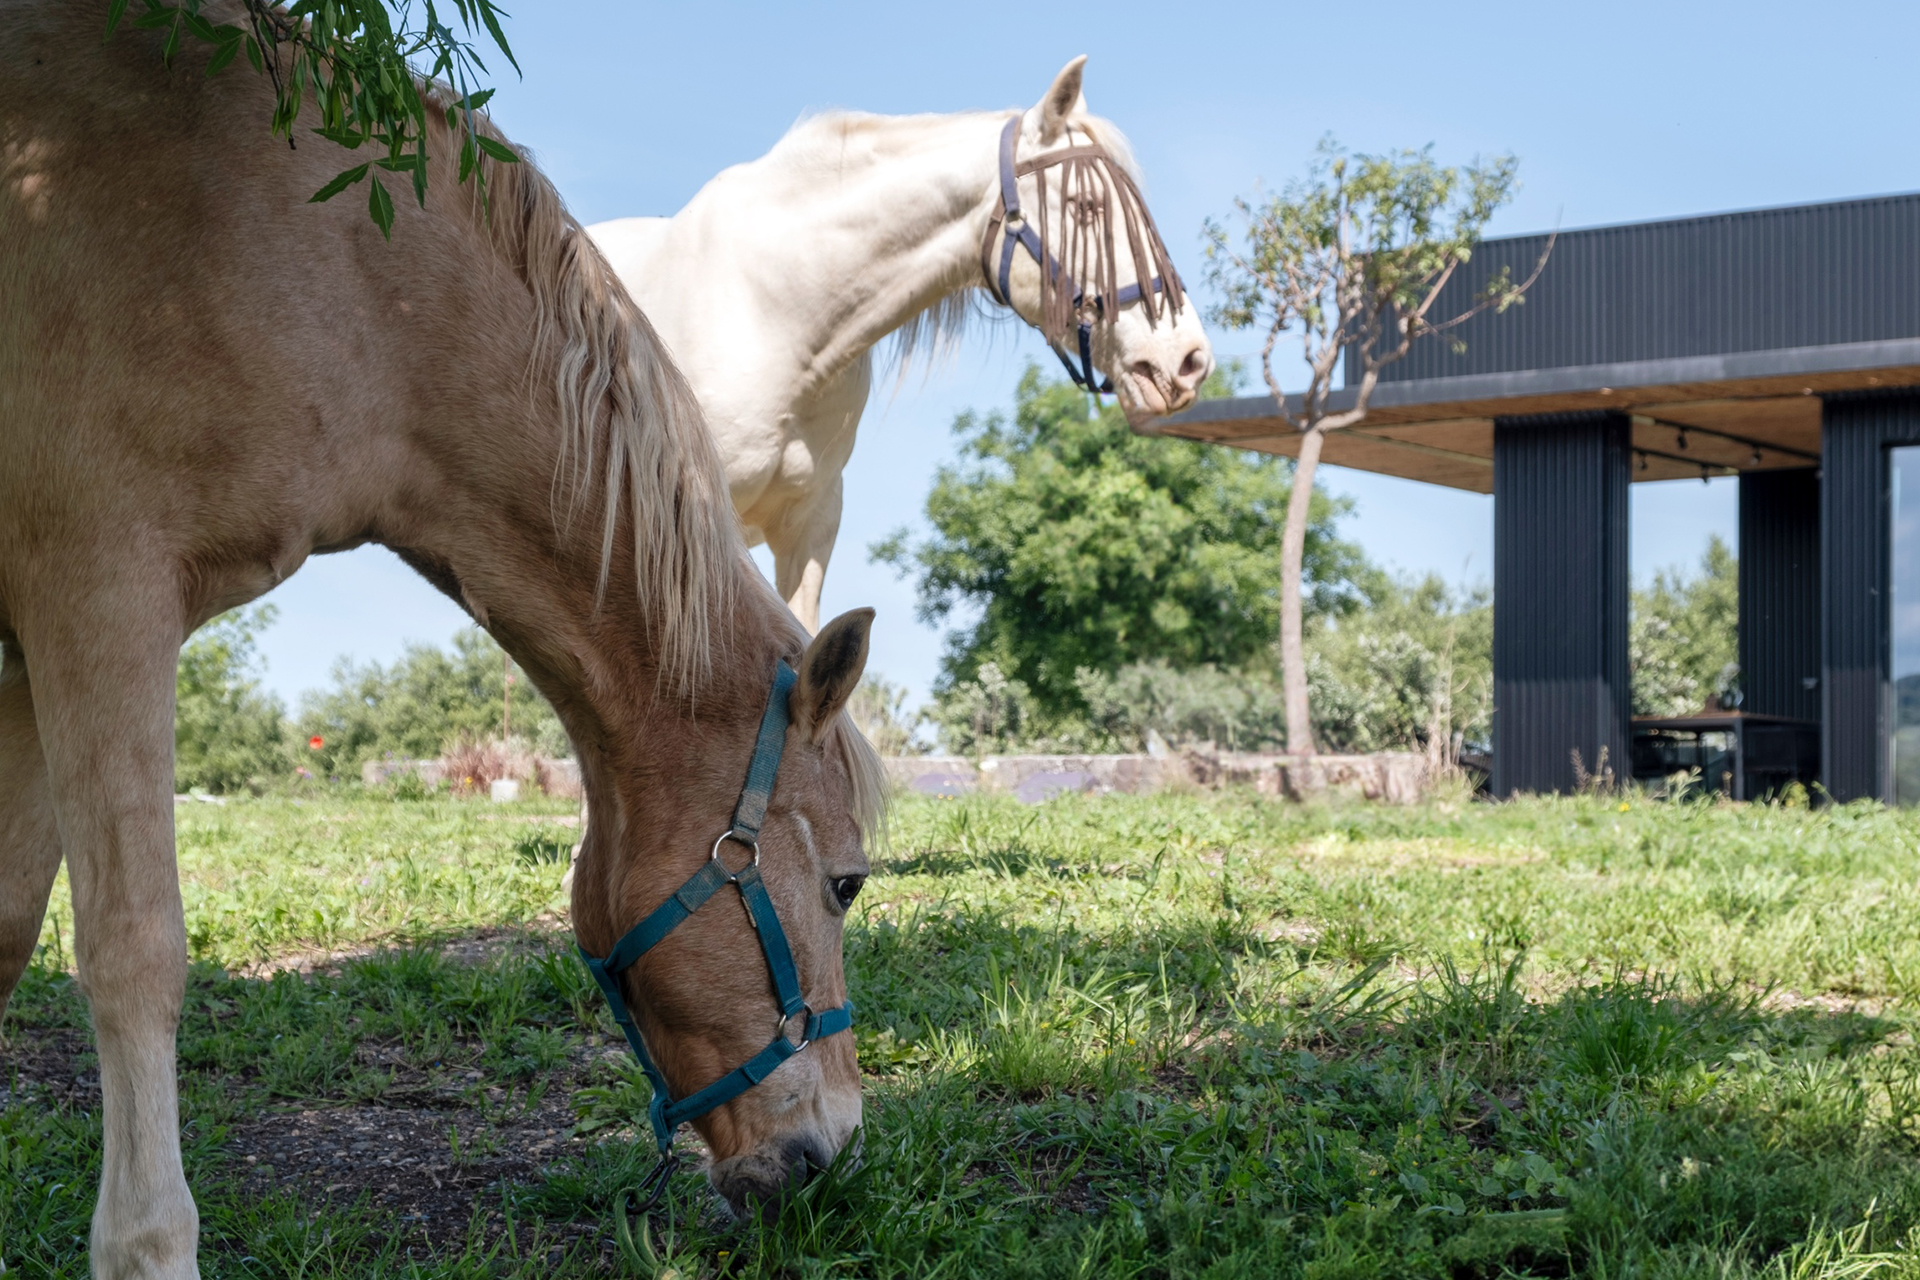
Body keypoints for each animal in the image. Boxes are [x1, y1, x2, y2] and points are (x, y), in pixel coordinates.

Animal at [0, 7, 886, 1274]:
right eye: (848, 882)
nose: (836, 1151)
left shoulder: (28, 651)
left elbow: (5, 932)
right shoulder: (98, 598)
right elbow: (134, 950)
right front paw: (148, 1243)